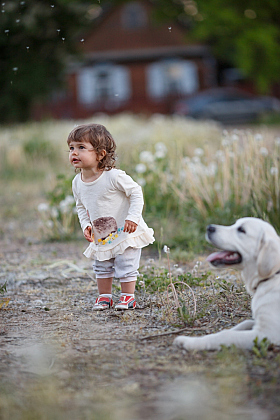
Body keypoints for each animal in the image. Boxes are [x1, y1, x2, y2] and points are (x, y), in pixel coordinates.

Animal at [173, 218, 280, 350]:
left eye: (241, 229)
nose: (209, 227)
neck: (271, 276)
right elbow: (242, 324)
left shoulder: (268, 333)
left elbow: (225, 335)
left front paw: (190, 342)